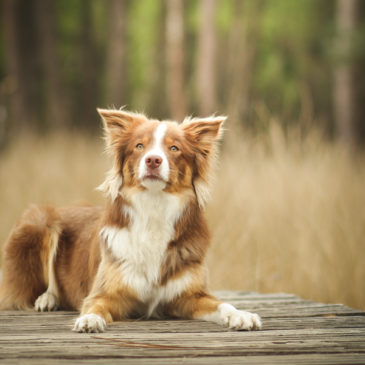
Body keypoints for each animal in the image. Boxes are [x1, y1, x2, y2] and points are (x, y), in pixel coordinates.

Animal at [0, 106, 262, 332]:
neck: (154, 208)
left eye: (174, 148)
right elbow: (94, 305)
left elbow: (223, 304)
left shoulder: (190, 295)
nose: (153, 160)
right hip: (40, 220)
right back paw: (46, 299)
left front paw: (241, 315)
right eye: (139, 146)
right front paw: (89, 320)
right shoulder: (104, 292)